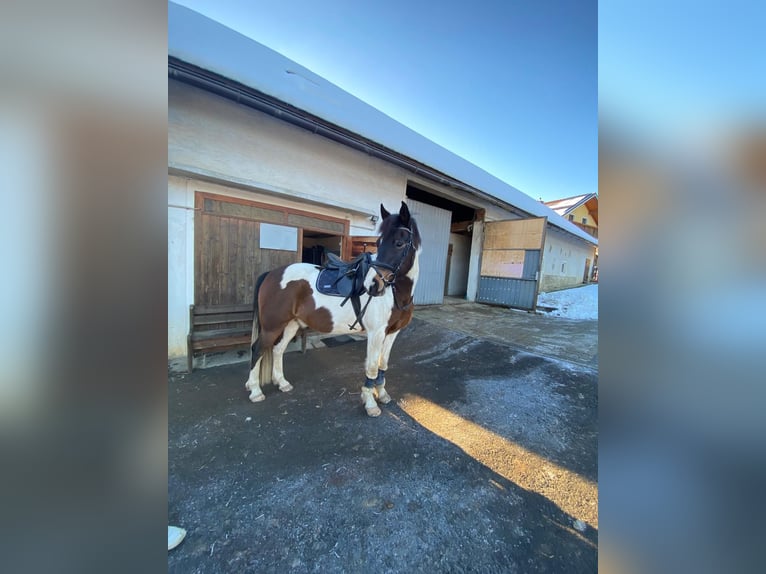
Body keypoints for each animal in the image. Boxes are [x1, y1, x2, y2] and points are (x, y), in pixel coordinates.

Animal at [244, 201, 421, 416]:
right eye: (378, 243)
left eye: (399, 243)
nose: (373, 285)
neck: (395, 294)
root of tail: (271, 274)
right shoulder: (376, 333)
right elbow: (372, 367)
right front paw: (370, 403)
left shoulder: (392, 333)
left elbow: (382, 364)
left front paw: (382, 394)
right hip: (272, 326)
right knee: (257, 350)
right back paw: (255, 391)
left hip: (291, 324)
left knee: (278, 349)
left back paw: (282, 383)